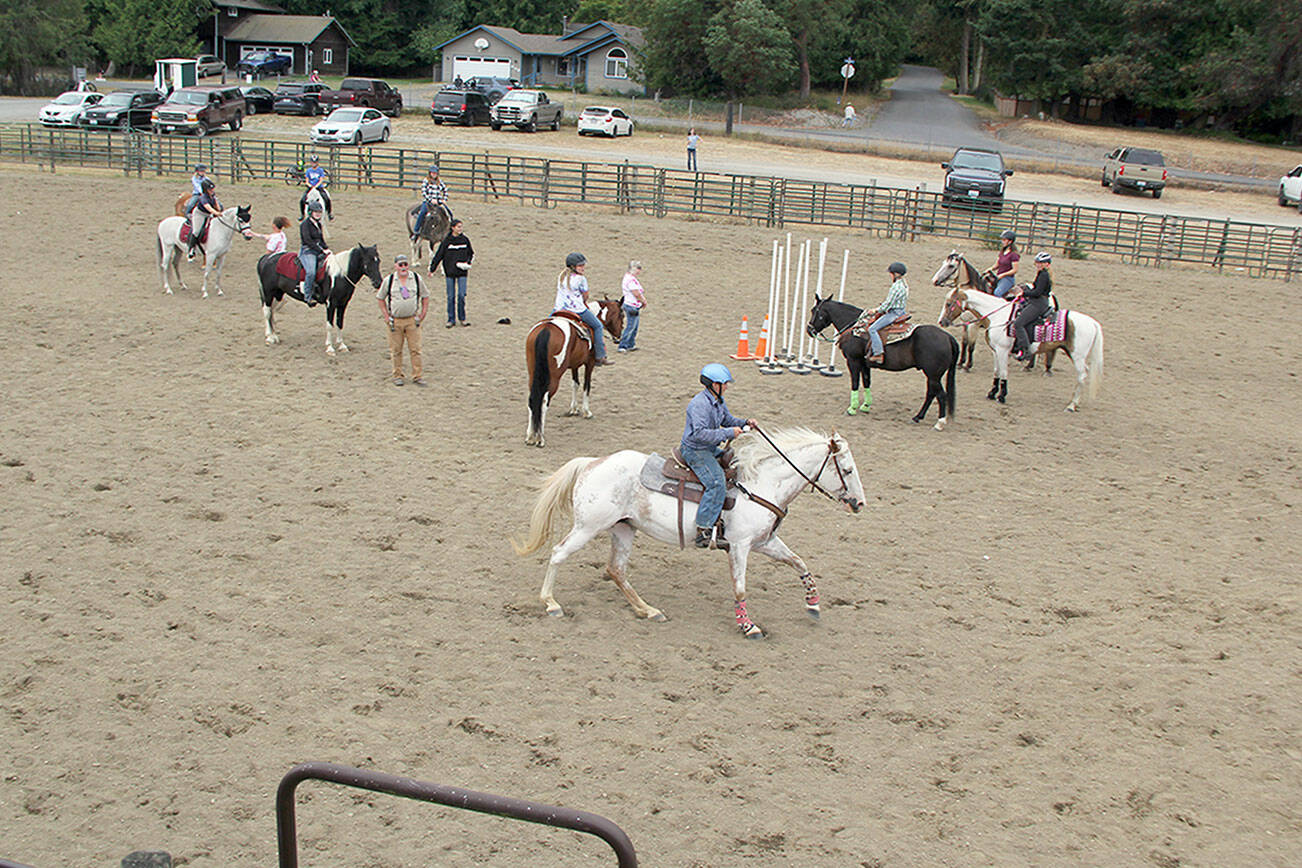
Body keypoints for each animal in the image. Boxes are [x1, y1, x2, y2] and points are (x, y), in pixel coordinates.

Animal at [251, 240, 380, 353]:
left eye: (378, 261)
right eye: (368, 261)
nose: (378, 283)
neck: (340, 275)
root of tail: (266, 258)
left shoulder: (343, 303)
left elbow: (340, 323)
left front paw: (342, 345)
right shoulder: (330, 304)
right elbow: (329, 325)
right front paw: (330, 348)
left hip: (278, 294)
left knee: (272, 311)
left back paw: (274, 336)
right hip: (268, 293)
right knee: (267, 311)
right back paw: (269, 337)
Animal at [510, 426, 864, 637]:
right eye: (847, 470)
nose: (860, 503)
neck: (760, 483)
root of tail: (591, 462)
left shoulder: (765, 541)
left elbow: (800, 562)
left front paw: (813, 604)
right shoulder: (740, 546)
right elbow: (740, 588)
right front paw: (748, 626)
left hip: (623, 530)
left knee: (616, 570)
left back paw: (648, 610)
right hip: (587, 527)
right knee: (559, 553)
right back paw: (551, 603)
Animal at [531, 299, 627, 447]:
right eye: (622, 315)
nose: (618, 337)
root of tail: (546, 329)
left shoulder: (574, 365)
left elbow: (575, 384)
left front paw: (573, 409)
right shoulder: (590, 363)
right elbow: (586, 386)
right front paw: (586, 412)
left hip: (533, 372)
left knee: (532, 399)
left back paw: (530, 437)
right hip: (554, 376)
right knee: (544, 401)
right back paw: (540, 439)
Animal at [942, 283, 1104, 408]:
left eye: (949, 304)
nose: (942, 322)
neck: (998, 316)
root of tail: (1092, 322)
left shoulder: (1003, 350)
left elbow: (1003, 373)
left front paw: (1002, 396)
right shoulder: (996, 351)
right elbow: (996, 371)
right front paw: (992, 393)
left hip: (1077, 356)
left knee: (1082, 375)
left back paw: (1072, 404)